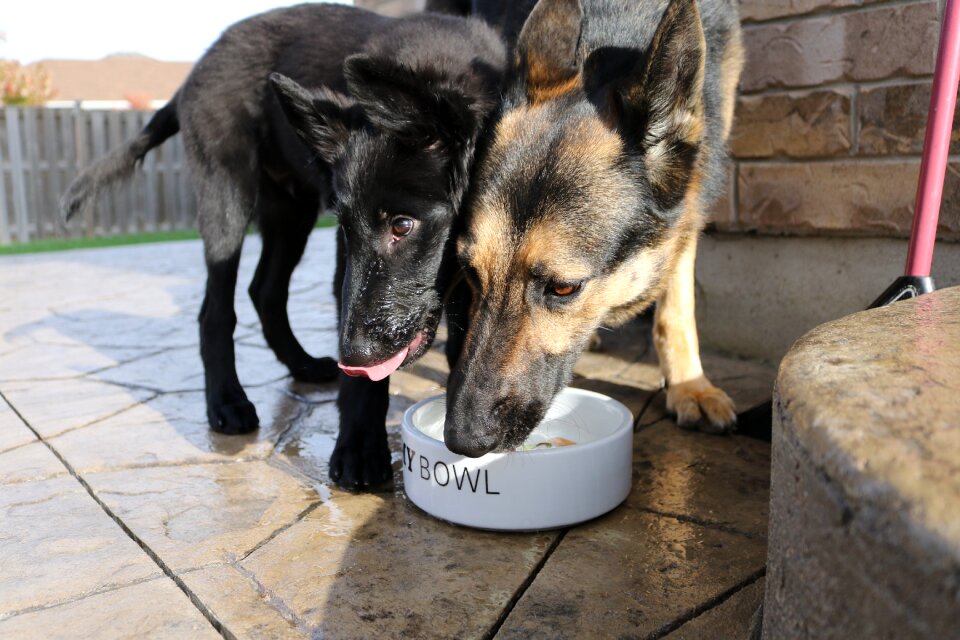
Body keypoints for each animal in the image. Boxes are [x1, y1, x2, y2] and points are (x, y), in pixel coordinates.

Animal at [61, 2, 506, 488]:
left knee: (265, 290)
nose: (354, 355)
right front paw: (358, 447)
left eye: (403, 225)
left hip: (289, 212)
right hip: (226, 196)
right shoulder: (343, 258)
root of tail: (194, 71)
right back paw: (227, 401)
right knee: (215, 310)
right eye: (346, 227)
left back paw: (302, 365)